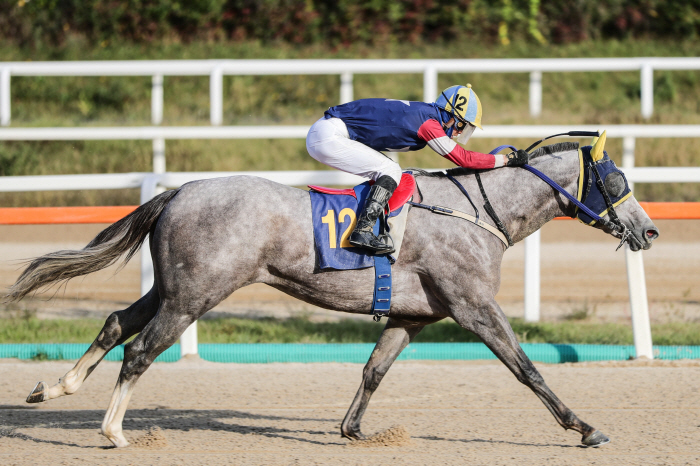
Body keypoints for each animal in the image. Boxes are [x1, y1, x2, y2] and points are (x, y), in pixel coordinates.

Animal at [5, 139, 660, 448]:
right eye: (616, 181)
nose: (649, 230)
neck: (477, 211)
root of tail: (180, 191)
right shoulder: (474, 308)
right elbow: (528, 369)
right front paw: (584, 427)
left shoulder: (414, 317)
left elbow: (373, 370)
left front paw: (352, 429)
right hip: (194, 295)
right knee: (140, 351)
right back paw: (114, 432)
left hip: (171, 288)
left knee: (118, 322)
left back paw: (52, 389)